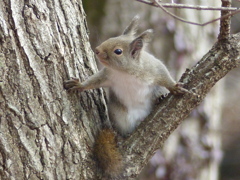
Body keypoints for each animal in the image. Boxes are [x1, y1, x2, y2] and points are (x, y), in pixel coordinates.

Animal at [64, 16, 188, 177]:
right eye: (112, 37)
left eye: (118, 51)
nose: (97, 50)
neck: (125, 72)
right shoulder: (107, 76)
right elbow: (93, 81)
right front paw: (79, 85)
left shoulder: (154, 69)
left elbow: (165, 78)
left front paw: (174, 87)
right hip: (119, 116)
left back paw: (159, 99)